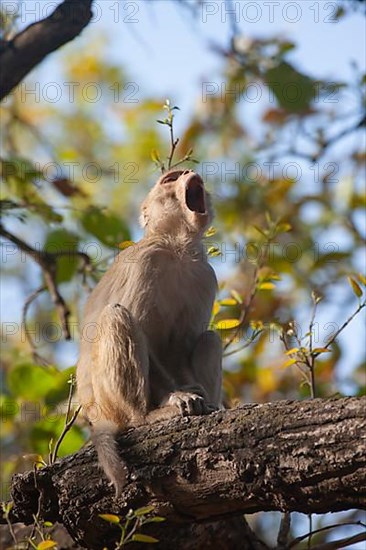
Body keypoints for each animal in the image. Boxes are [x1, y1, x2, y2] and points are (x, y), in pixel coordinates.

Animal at [76, 168, 222, 496]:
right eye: (171, 178)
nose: (191, 172)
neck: (177, 248)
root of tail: (94, 413)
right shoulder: (145, 261)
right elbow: (141, 331)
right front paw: (177, 398)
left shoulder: (206, 276)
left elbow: (181, 347)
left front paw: (195, 393)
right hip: (107, 401)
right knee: (117, 315)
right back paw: (143, 417)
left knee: (210, 338)